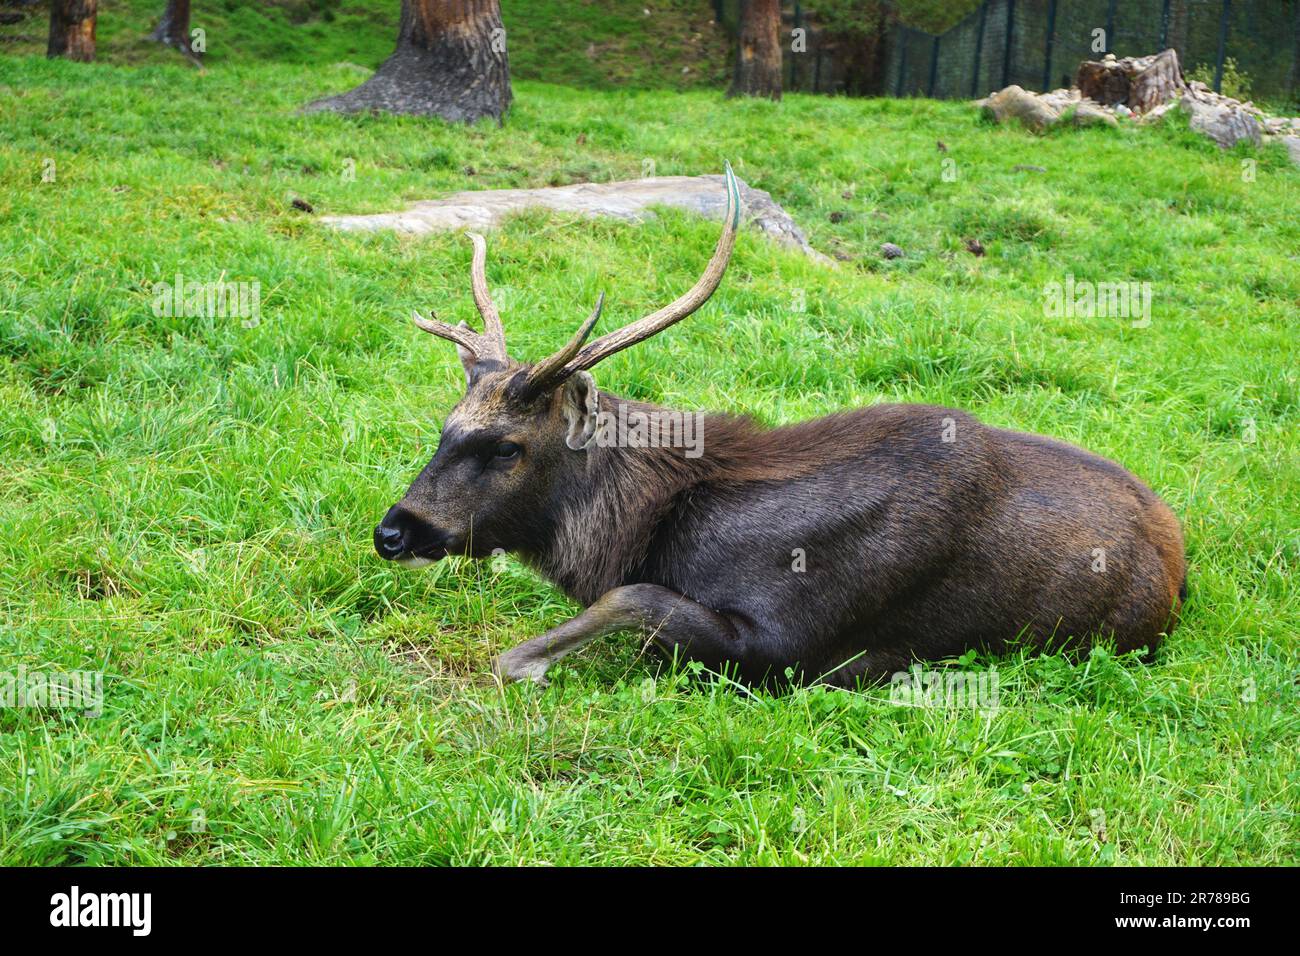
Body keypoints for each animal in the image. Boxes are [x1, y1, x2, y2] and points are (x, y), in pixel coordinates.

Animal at [377, 166, 1190, 686]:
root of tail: (1180, 558)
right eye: (445, 425)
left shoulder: (789, 640)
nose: (393, 531)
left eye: (507, 447)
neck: (649, 526)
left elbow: (634, 599)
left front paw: (526, 661)